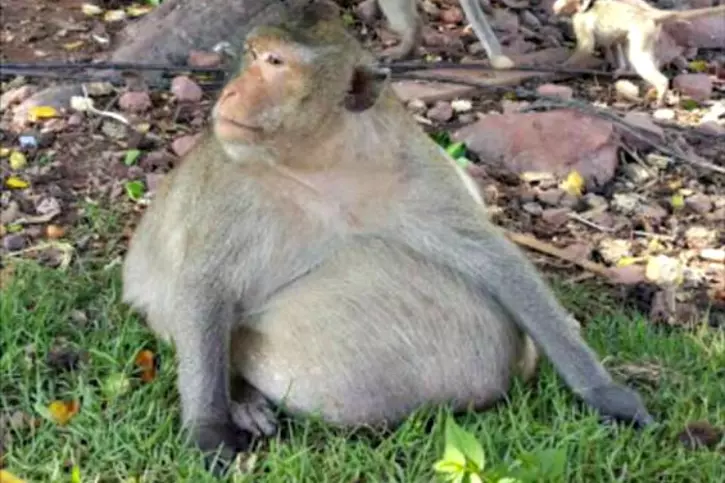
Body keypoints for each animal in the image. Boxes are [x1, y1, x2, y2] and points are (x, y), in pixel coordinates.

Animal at [552, 0, 725, 106]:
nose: (555, 5)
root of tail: (648, 13)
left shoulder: (580, 20)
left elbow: (587, 46)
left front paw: (562, 66)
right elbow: (613, 43)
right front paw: (617, 69)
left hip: (643, 31)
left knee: (638, 57)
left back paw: (660, 89)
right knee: (625, 42)